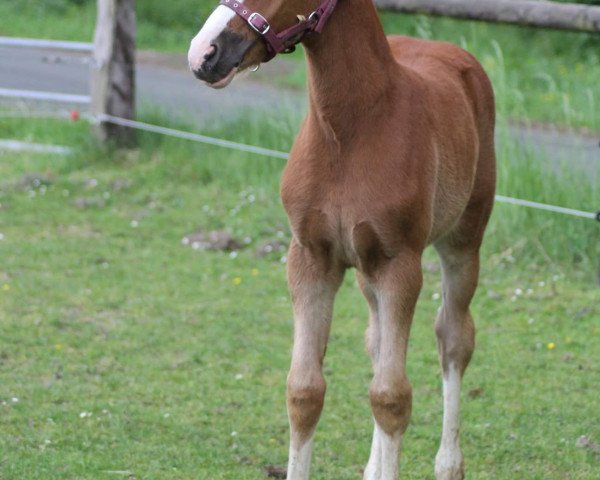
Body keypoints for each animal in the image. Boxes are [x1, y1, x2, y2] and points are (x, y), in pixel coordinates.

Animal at [189, 1, 496, 478]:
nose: (204, 53)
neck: (348, 135)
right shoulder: (311, 258)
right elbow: (304, 391)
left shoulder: (399, 264)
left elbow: (391, 397)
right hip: (367, 269)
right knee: (376, 343)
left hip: (463, 241)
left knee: (453, 338)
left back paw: (448, 464)